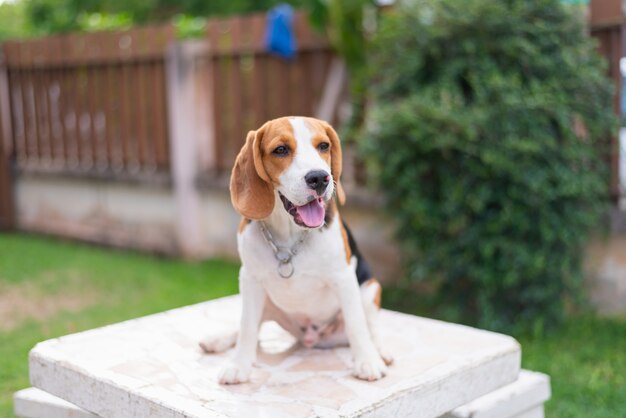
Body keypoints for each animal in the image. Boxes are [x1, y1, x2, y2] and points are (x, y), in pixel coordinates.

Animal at [202, 116, 390, 384]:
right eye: (280, 150)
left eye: (323, 146)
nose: (319, 178)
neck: (289, 235)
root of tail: (311, 337)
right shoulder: (250, 279)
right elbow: (247, 327)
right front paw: (239, 365)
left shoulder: (344, 278)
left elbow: (357, 325)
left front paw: (367, 361)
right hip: (265, 301)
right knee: (251, 326)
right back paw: (217, 340)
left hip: (370, 289)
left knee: (371, 325)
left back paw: (380, 351)